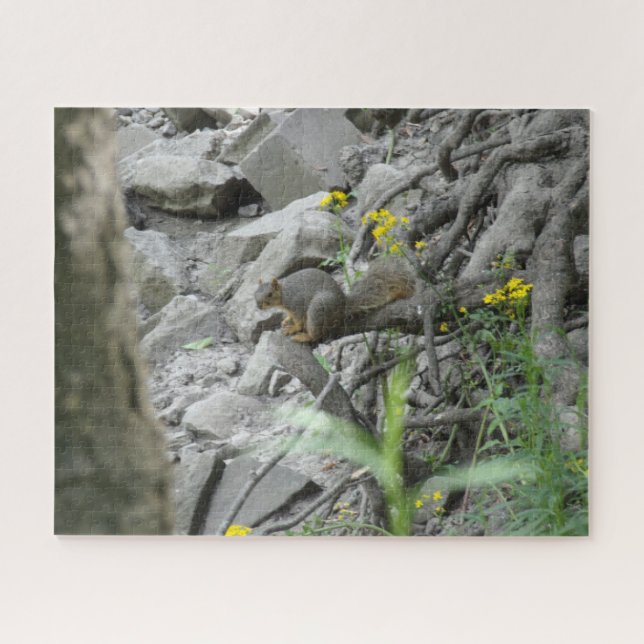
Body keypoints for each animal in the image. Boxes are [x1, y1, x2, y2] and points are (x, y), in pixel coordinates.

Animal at [254, 256, 415, 343]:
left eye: (269, 294)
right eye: (255, 293)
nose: (258, 306)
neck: (284, 294)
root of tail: (343, 305)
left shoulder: (297, 304)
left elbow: (299, 321)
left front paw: (293, 327)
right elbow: (289, 316)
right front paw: (286, 320)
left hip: (317, 310)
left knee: (316, 335)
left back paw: (304, 337)